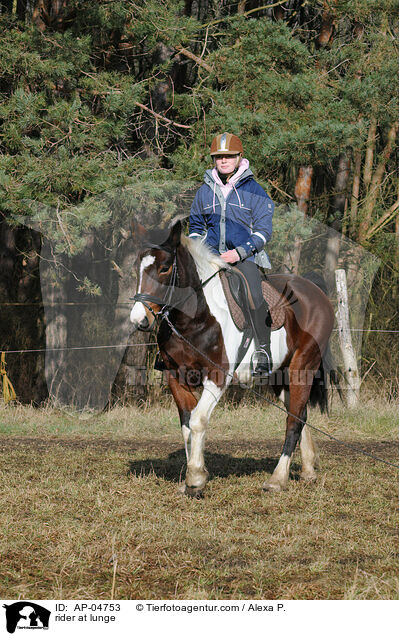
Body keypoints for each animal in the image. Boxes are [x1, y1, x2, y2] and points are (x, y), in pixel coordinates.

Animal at [130, 219, 336, 496]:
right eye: (138, 268)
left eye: (164, 268)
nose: (139, 319)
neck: (195, 319)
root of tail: (314, 291)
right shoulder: (176, 377)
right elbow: (186, 426)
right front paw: (191, 478)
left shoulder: (217, 377)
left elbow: (198, 420)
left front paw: (196, 478)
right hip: (280, 375)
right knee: (299, 413)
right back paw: (308, 470)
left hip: (303, 366)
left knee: (294, 420)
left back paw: (277, 479)